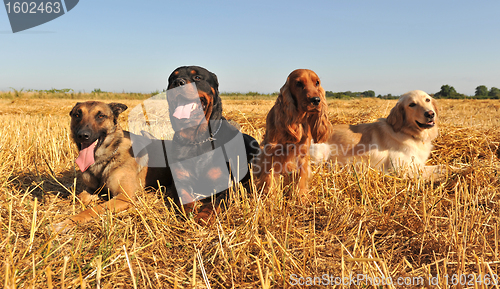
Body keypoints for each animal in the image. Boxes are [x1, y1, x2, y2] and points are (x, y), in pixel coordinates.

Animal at [53, 101, 173, 232]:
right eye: (77, 115)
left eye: (101, 116)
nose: (83, 135)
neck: (105, 159)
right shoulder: (91, 189)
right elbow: (80, 196)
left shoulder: (124, 197)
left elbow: (93, 210)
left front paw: (66, 223)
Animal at [166, 66, 260, 223]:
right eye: (172, 78)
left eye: (197, 77)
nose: (178, 82)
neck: (196, 139)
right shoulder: (179, 181)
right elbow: (183, 197)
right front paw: (189, 210)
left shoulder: (226, 186)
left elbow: (214, 203)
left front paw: (203, 217)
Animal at [254, 69, 332, 200]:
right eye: (299, 83)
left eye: (317, 83)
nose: (316, 100)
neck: (297, 119)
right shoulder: (271, 151)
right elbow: (269, 175)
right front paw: (270, 195)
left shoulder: (302, 153)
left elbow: (301, 176)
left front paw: (301, 196)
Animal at [310, 89, 444, 178]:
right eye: (412, 104)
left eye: (427, 100)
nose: (430, 114)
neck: (406, 132)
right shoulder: (403, 169)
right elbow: (438, 171)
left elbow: (441, 167)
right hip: (321, 151)